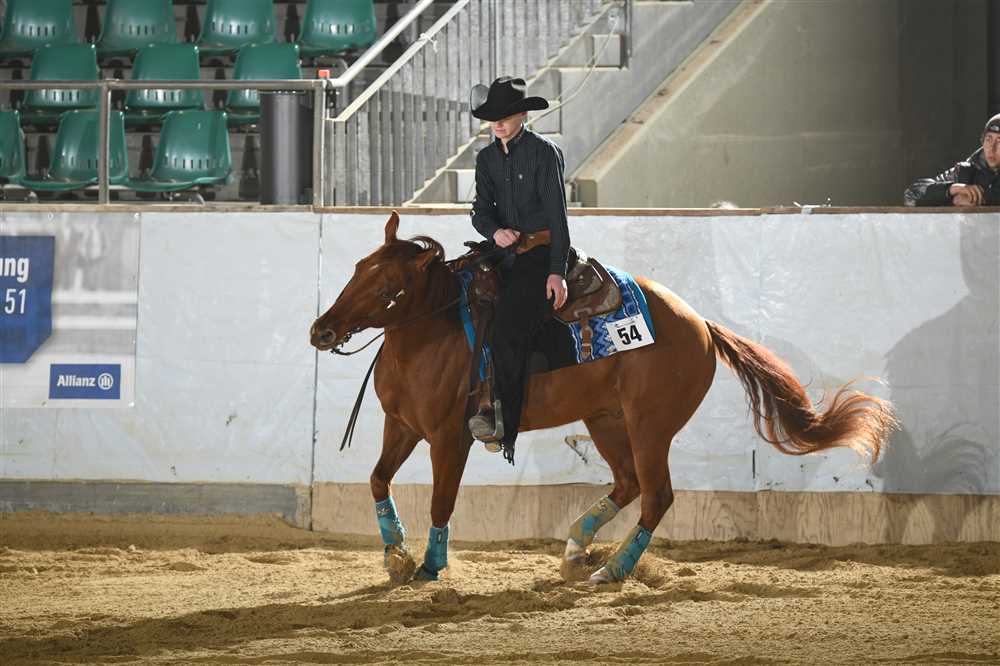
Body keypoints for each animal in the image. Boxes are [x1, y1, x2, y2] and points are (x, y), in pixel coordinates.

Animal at [310, 211, 896, 585]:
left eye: (388, 287)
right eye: (358, 268)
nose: (322, 330)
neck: (432, 335)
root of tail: (701, 324)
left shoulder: (449, 439)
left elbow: (440, 501)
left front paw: (430, 567)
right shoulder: (402, 426)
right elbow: (377, 479)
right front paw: (395, 555)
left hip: (650, 424)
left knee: (656, 495)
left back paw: (612, 569)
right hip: (606, 419)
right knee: (628, 483)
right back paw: (576, 549)